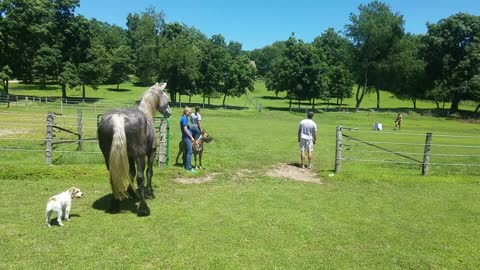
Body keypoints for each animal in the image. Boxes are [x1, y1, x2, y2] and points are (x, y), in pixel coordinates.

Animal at [96, 83, 172, 216]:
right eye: (166, 96)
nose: (169, 112)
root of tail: (119, 118)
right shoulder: (151, 153)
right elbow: (149, 172)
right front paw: (149, 193)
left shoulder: (130, 156)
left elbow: (131, 172)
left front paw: (130, 192)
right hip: (140, 156)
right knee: (141, 177)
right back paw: (143, 208)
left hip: (108, 157)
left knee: (113, 177)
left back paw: (114, 205)